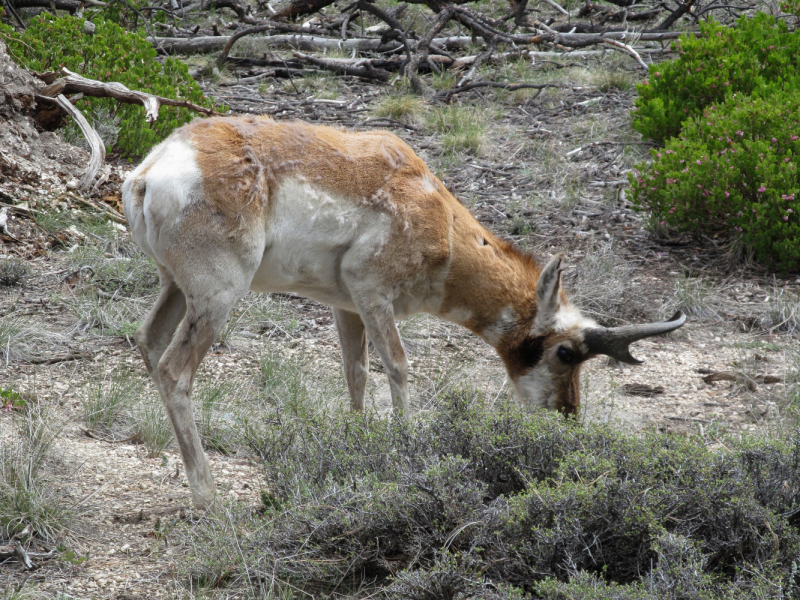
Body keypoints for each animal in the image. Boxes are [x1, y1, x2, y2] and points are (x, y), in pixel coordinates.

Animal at [122, 116, 684, 506]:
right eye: (566, 352)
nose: (568, 416)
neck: (437, 212)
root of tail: (152, 170)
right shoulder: (373, 293)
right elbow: (397, 365)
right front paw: (409, 448)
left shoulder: (346, 307)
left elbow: (355, 373)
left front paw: (358, 444)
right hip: (217, 299)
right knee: (174, 370)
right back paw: (208, 496)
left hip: (177, 290)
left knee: (149, 343)